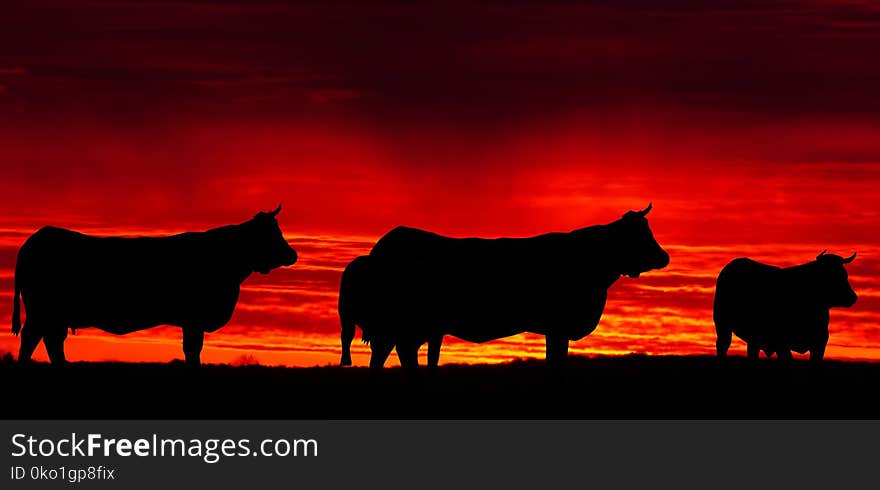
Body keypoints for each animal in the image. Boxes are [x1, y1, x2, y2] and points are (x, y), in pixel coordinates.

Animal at [12, 206, 298, 364]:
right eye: (271, 234)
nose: (292, 254)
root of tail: (36, 238)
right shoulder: (193, 319)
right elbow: (192, 351)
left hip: (53, 314)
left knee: (52, 341)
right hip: (41, 311)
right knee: (32, 338)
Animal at [340, 203, 672, 376]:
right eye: (641, 235)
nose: (664, 257)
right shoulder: (558, 326)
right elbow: (556, 362)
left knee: (385, 356)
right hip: (401, 325)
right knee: (396, 354)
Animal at [712, 251, 856, 366]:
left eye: (845, 275)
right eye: (831, 276)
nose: (853, 297)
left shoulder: (819, 343)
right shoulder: (782, 343)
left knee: (752, 352)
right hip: (722, 325)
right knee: (723, 345)